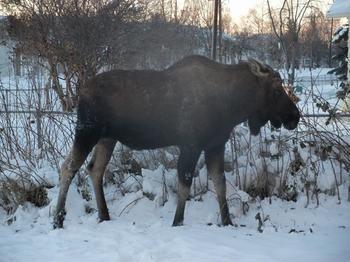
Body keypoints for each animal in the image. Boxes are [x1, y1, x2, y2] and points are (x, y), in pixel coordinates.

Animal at [53, 55, 300, 229]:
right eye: (276, 90)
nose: (295, 117)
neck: (233, 105)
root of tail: (81, 92)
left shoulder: (215, 145)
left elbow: (220, 183)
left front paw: (227, 221)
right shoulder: (191, 145)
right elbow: (185, 184)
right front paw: (177, 221)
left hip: (107, 138)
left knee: (94, 169)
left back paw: (104, 215)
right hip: (87, 131)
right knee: (68, 167)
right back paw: (58, 219)